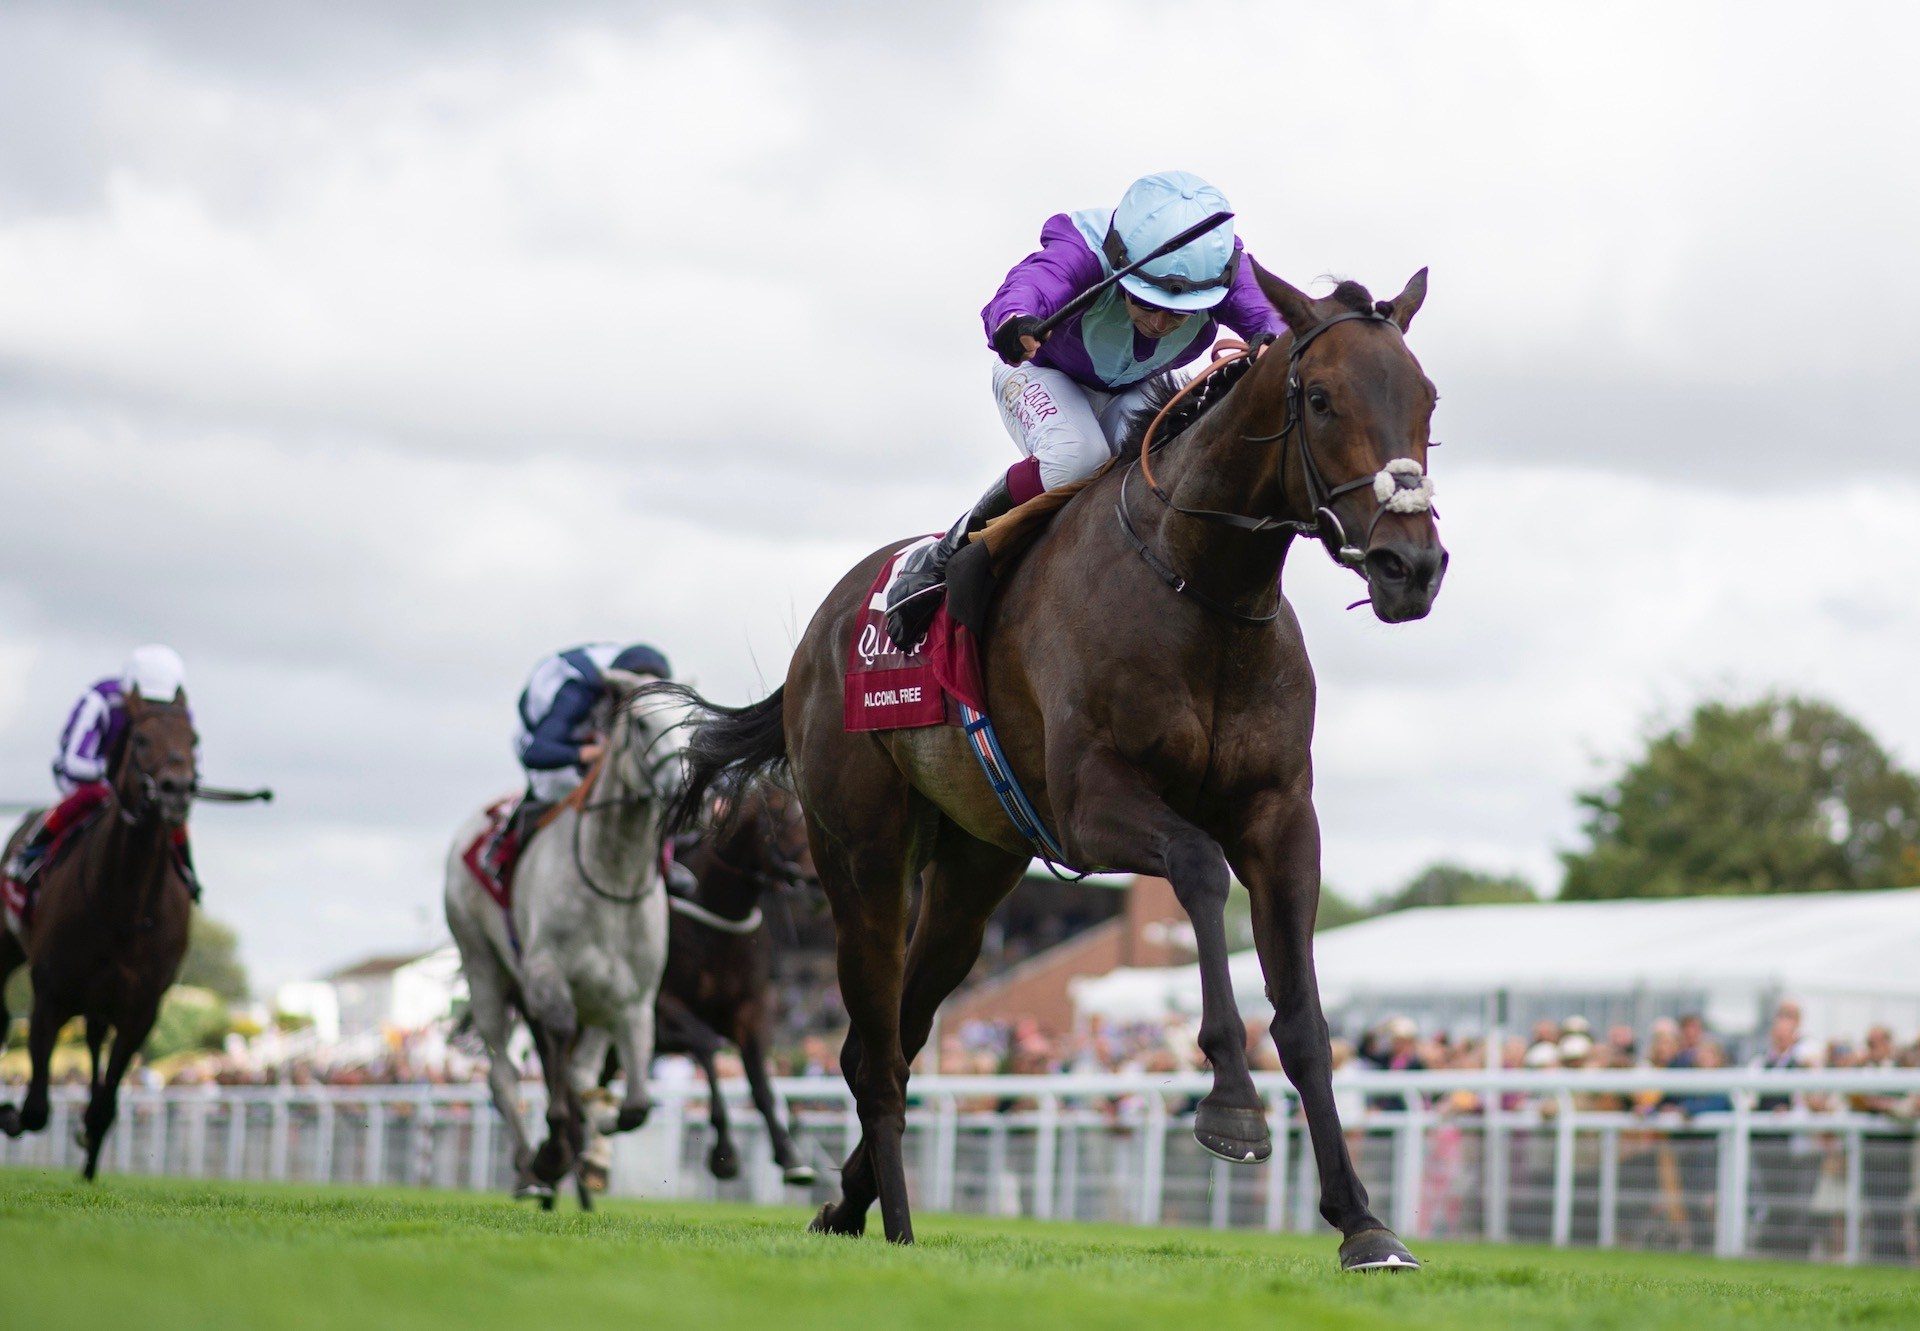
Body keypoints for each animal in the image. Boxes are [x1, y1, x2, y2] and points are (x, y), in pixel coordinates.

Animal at [0, 691, 196, 1175]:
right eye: (140, 739)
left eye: (194, 739)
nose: (176, 790)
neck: (124, 903)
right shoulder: (50, 994)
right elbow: (36, 1109)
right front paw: (10, 1114)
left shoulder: (142, 1008)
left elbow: (105, 1105)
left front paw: (89, 1143)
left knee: (93, 1043)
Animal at [660, 779, 817, 1183]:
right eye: (780, 816)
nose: (814, 879)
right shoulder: (663, 1006)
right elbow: (705, 1043)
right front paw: (725, 1154)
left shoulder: (752, 1008)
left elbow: (760, 1083)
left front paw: (789, 1155)